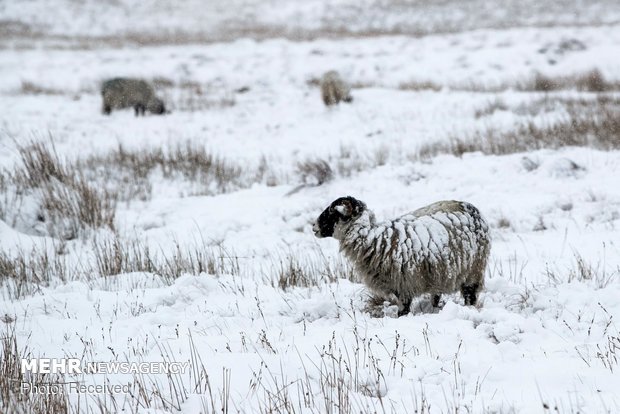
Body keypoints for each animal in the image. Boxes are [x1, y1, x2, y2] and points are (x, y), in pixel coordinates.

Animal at [312, 196, 492, 316]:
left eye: (332, 212)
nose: (313, 226)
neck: (374, 239)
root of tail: (471, 207)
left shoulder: (404, 285)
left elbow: (403, 310)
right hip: (440, 272)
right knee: (437, 293)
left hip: (473, 269)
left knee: (470, 295)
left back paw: (469, 308)